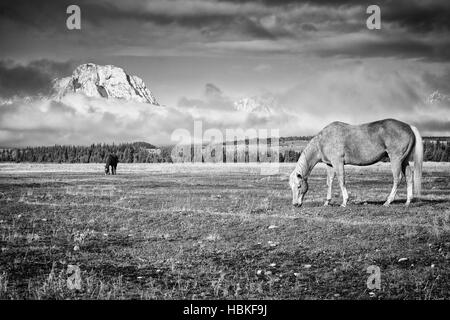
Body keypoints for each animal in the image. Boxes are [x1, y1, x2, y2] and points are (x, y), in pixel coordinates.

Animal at [290, 119, 424, 208]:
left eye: (299, 186)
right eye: (291, 187)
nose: (295, 204)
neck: (323, 140)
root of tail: (409, 126)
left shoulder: (338, 162)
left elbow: (341, 180)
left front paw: (344, 202)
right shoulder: (330, 165)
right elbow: (329, 182)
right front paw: (327, 201)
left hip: (395, 159)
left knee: (397, 178)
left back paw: (388, 201)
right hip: (404, 160)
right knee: (409, 177)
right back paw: (408, 201)